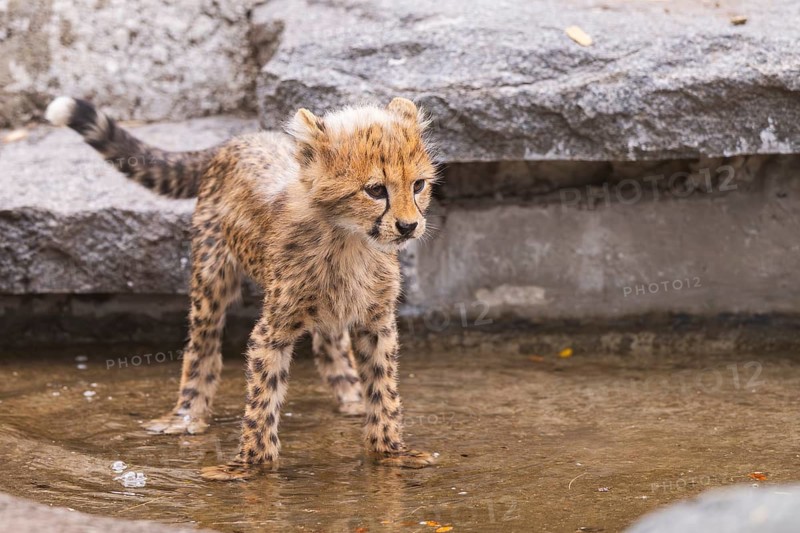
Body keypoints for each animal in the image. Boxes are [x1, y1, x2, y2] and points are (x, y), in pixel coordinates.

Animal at [45, 95, 439, 480]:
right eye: (375, 190)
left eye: (418, 185)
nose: (408, 226)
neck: (349, 240)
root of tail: (243, 138)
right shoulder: (273, 329)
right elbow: (263, 396)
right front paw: (251, 464)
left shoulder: (376, 322)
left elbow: (384, 387)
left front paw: (391, 451)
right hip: (211, 277)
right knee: (202, 346)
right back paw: (186, 415)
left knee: (328, 341)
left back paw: (351, 396)